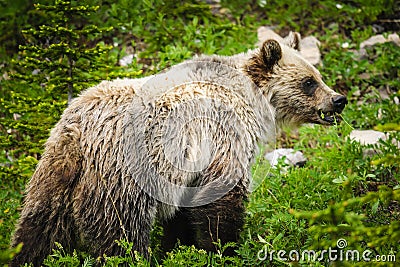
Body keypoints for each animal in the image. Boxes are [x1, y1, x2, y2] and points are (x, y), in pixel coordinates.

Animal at [9, 34, 346, 266]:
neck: (252, 102)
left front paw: (178, 246)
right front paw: (224, 249)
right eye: (308, 82)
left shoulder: (185, 169)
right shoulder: (221, 137)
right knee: (121, 234)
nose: (338, 99)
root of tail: (78, 130)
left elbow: (184, 212)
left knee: (39, 229)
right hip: (123, 176)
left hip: (54, 173)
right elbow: (221, 200)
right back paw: (134, 257)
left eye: (318, 75)